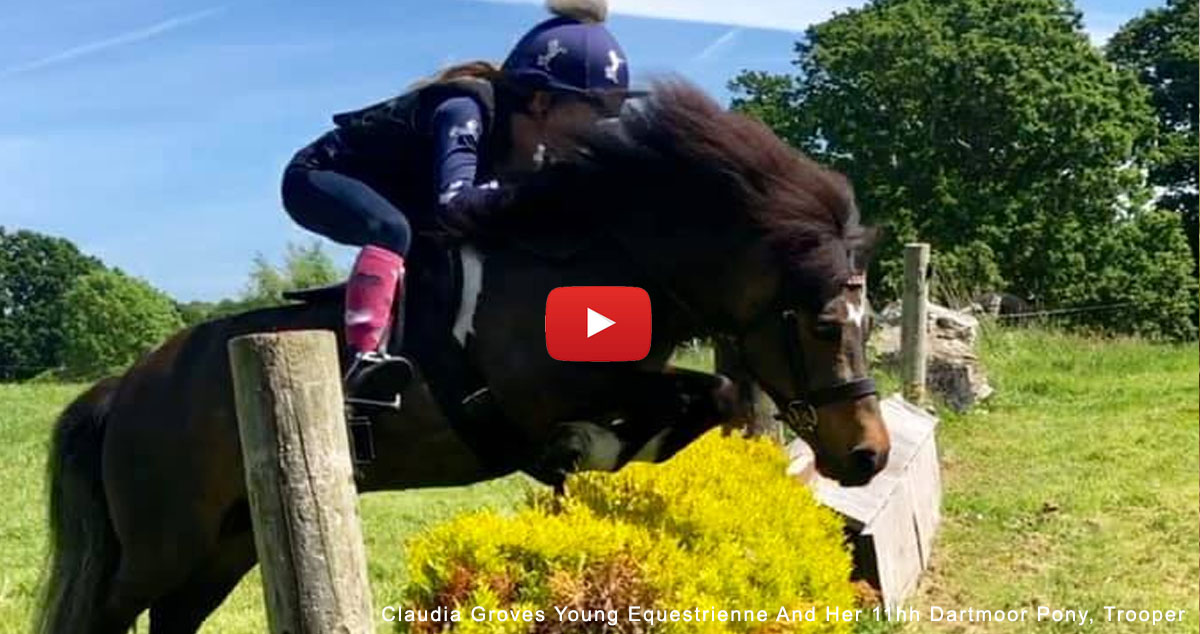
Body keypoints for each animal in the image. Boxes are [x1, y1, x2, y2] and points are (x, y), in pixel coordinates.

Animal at [35, 81, 892, 629]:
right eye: (824, 326)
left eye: (867, 318)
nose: (870, 456)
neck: (595, 260)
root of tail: (123, 389)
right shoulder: (539, 395)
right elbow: (681, 401)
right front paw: (581, 448)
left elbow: (706, 397)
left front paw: (592, 452)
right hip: (163, 542)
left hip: (227, 541)